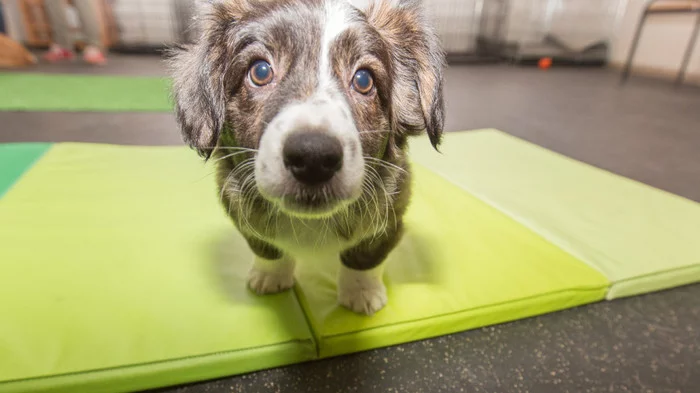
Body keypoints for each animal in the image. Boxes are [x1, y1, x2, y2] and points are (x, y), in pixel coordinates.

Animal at [169, 0, 442, 314]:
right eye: (260, 71)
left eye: (364, 79)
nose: (313, 157)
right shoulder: (241, 213)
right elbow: (266, 247)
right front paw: (270, 276)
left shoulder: (390, 216)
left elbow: (366, 256)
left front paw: (362, 293)